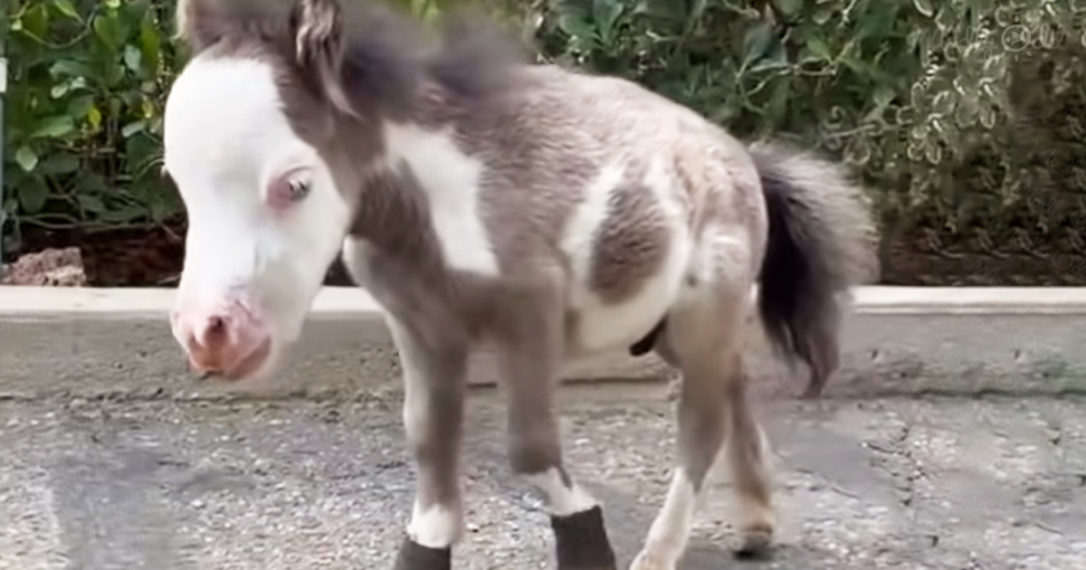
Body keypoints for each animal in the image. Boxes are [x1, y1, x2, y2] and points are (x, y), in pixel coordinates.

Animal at [162, 0, 880, 568]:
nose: (210, 335)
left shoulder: (530, 312)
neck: (439, 199)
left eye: (295, 184)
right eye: (177, 178)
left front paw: (589, 543)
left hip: (708, 305)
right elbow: (428, 437)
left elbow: (531, 449)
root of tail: (746, 161)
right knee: (732, 386)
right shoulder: (420, 323)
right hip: (673, 324)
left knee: (701, 422)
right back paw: (757, 525)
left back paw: (659, 554)